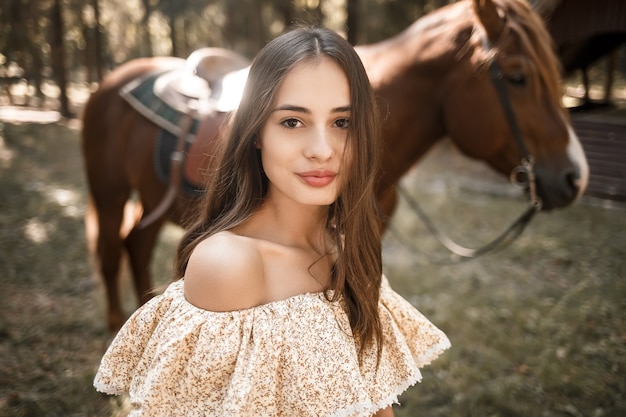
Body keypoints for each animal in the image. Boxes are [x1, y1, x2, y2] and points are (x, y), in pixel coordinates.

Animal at [81, 0, 584, 332]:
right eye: (517, 77)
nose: (575, 176)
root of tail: (110, 81)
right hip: (109, 194)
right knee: (110, 251)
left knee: (135, 245)